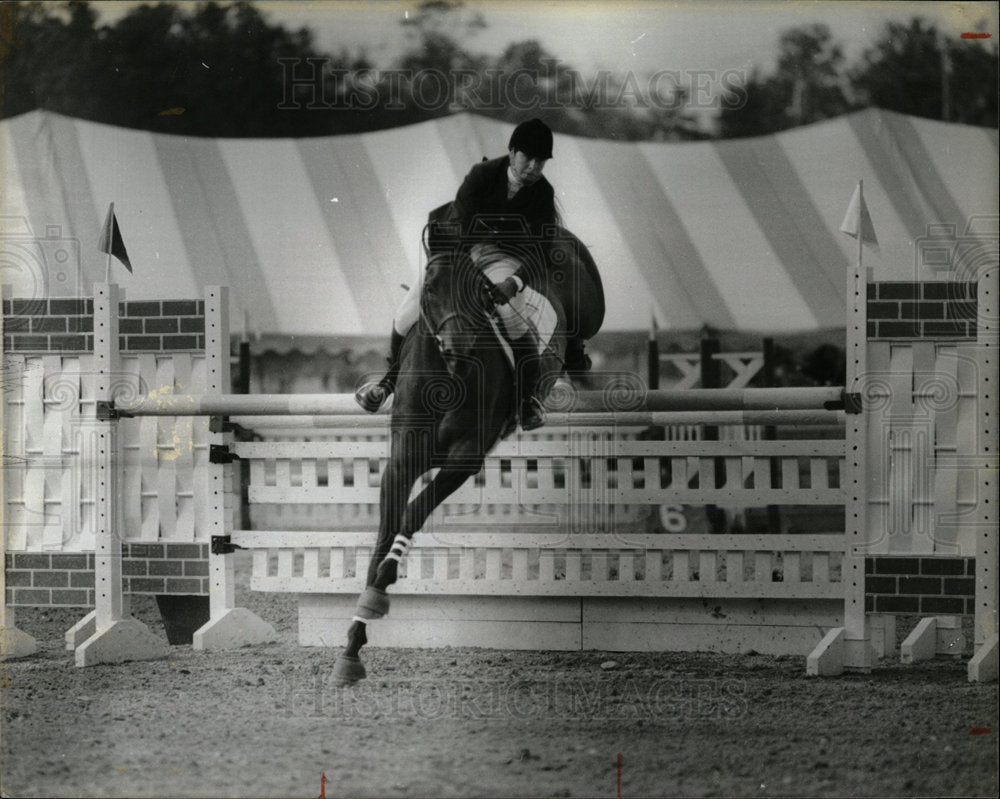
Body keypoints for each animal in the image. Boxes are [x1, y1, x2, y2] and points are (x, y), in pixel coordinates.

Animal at [334, 227, 600, 688]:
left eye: (473, 289)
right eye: (430, 289)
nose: (459, 348)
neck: (447, 378)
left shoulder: (463, 460)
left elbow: (411, 517)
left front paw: (378, 594)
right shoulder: (402, 460)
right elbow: (385, 534)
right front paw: (354, 641)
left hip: (586, 301)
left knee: (583, 331)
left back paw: (575, 360)